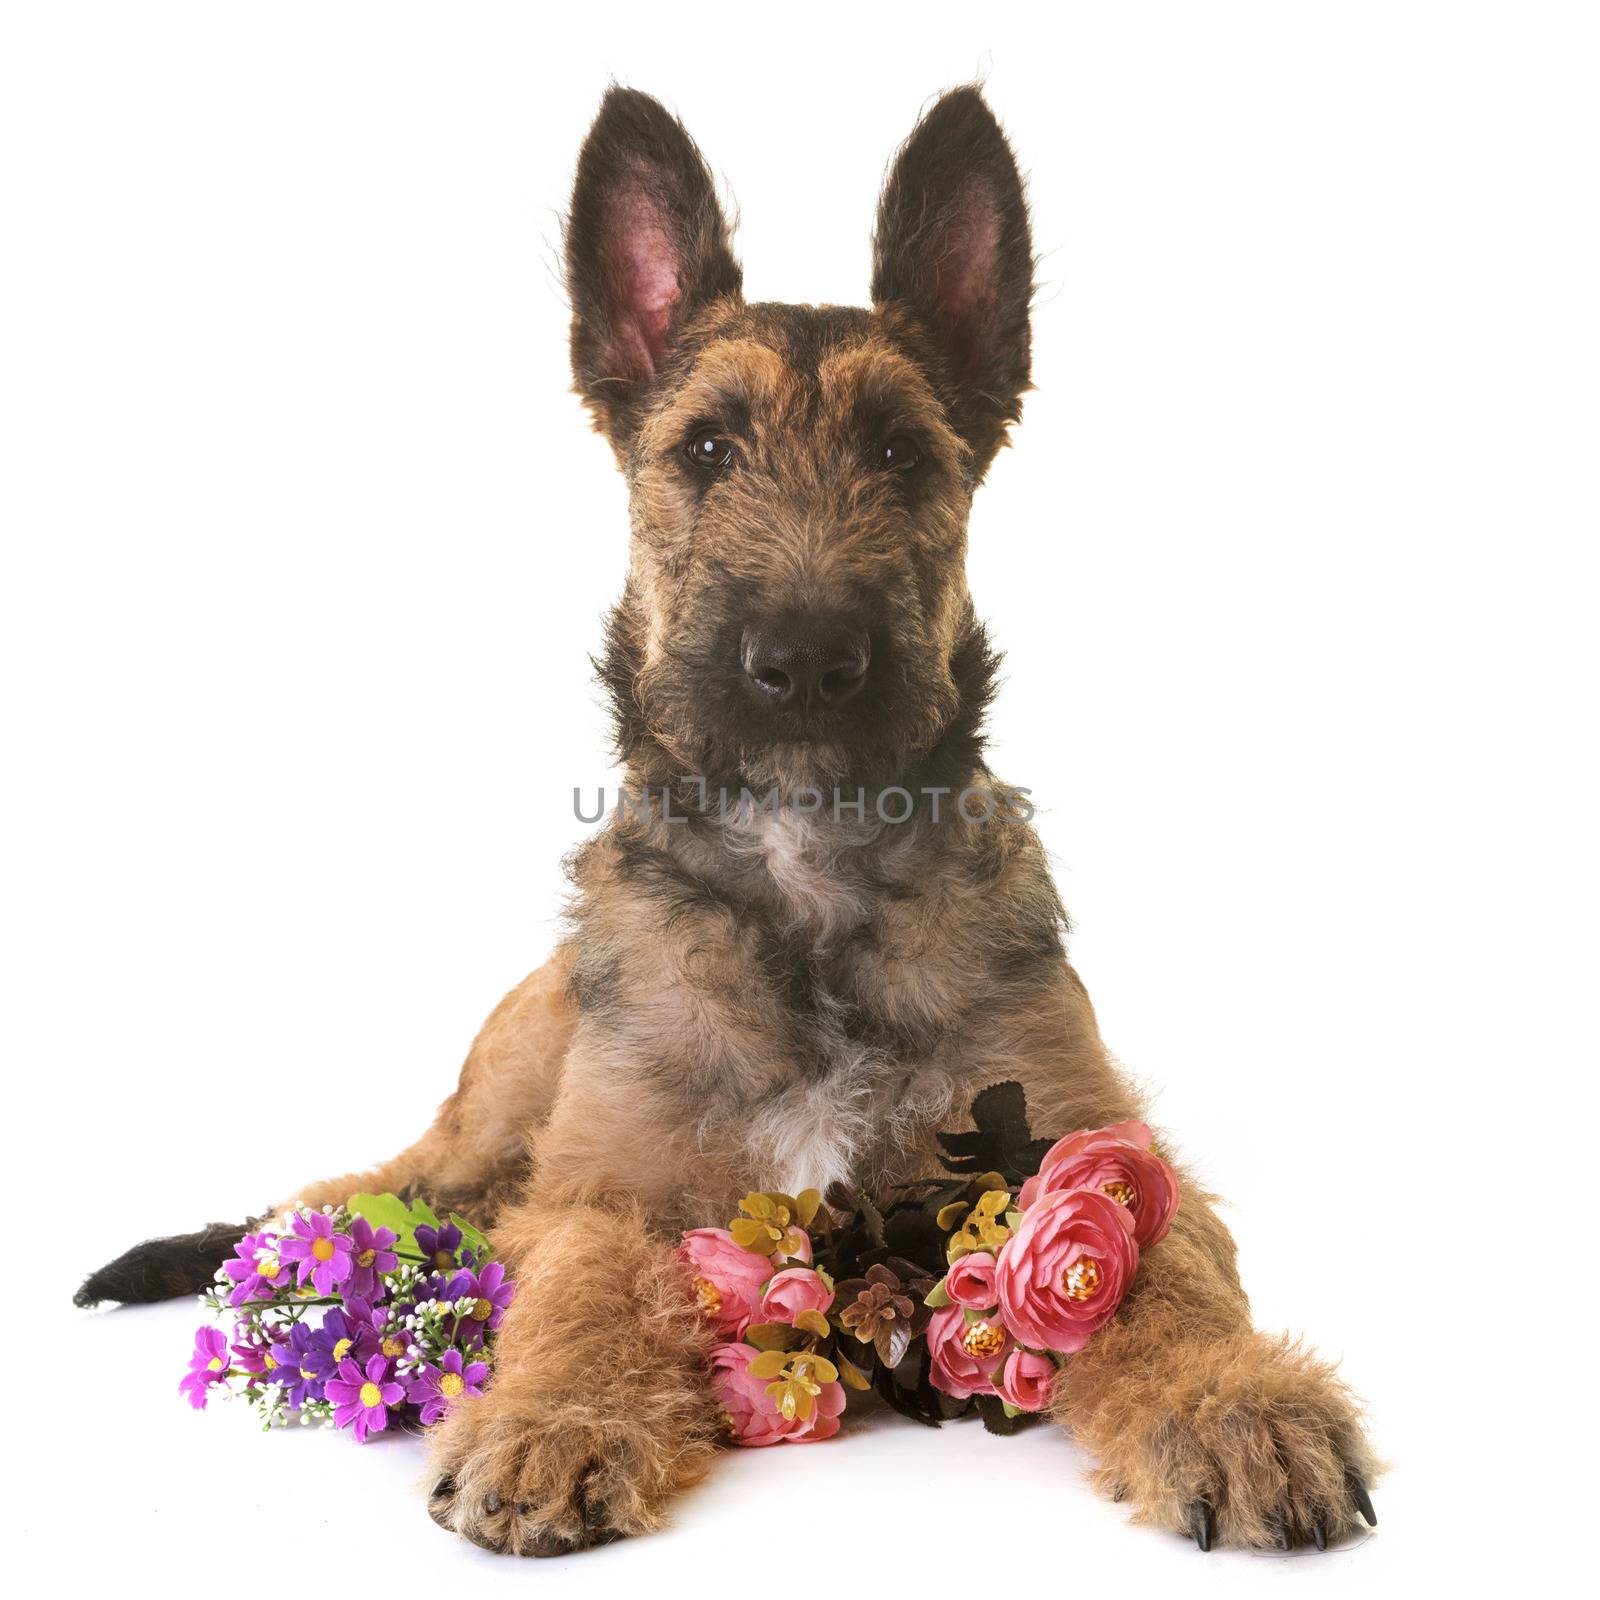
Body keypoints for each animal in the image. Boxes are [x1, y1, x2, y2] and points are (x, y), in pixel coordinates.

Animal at [78, 81, 1376, 1555]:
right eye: (705, 447)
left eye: (899, 451)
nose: (804, 659)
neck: (806, 863)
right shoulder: (600, 1187)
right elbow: (585, 1287)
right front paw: (554, 1422)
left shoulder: (1088, 1149)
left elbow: (1169, 1276)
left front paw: (1238, 1408)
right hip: (476, 1128)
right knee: (344, 1196)